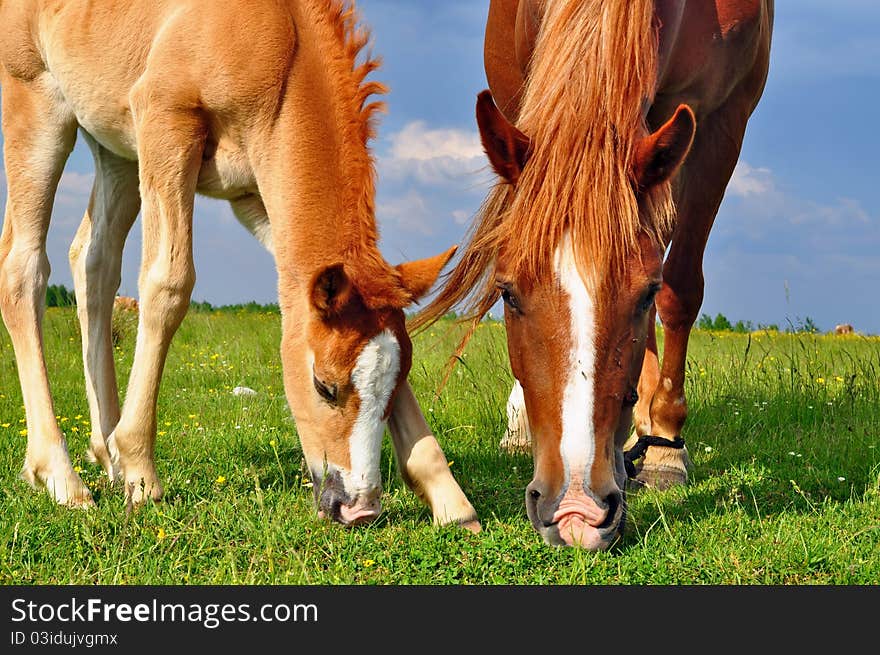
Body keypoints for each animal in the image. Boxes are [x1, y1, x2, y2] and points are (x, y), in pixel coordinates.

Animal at [0, 0, 482, 532]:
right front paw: (142, 473)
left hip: (116, 147)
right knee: (23, 267)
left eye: (393, 389)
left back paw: (106, 454)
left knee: (93, 262)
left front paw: (450, 499)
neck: (278, 48)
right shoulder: (166, 121)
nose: (358, 509)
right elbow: (169, 283)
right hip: (35, 96)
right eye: (325, 387)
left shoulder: (263, 201)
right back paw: (61, 476)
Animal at [416, 0, 772, 548]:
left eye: (644, 294)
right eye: (507, 292)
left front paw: (664, 445)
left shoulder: (723, 119)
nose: (575, 511)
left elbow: (680, 288)